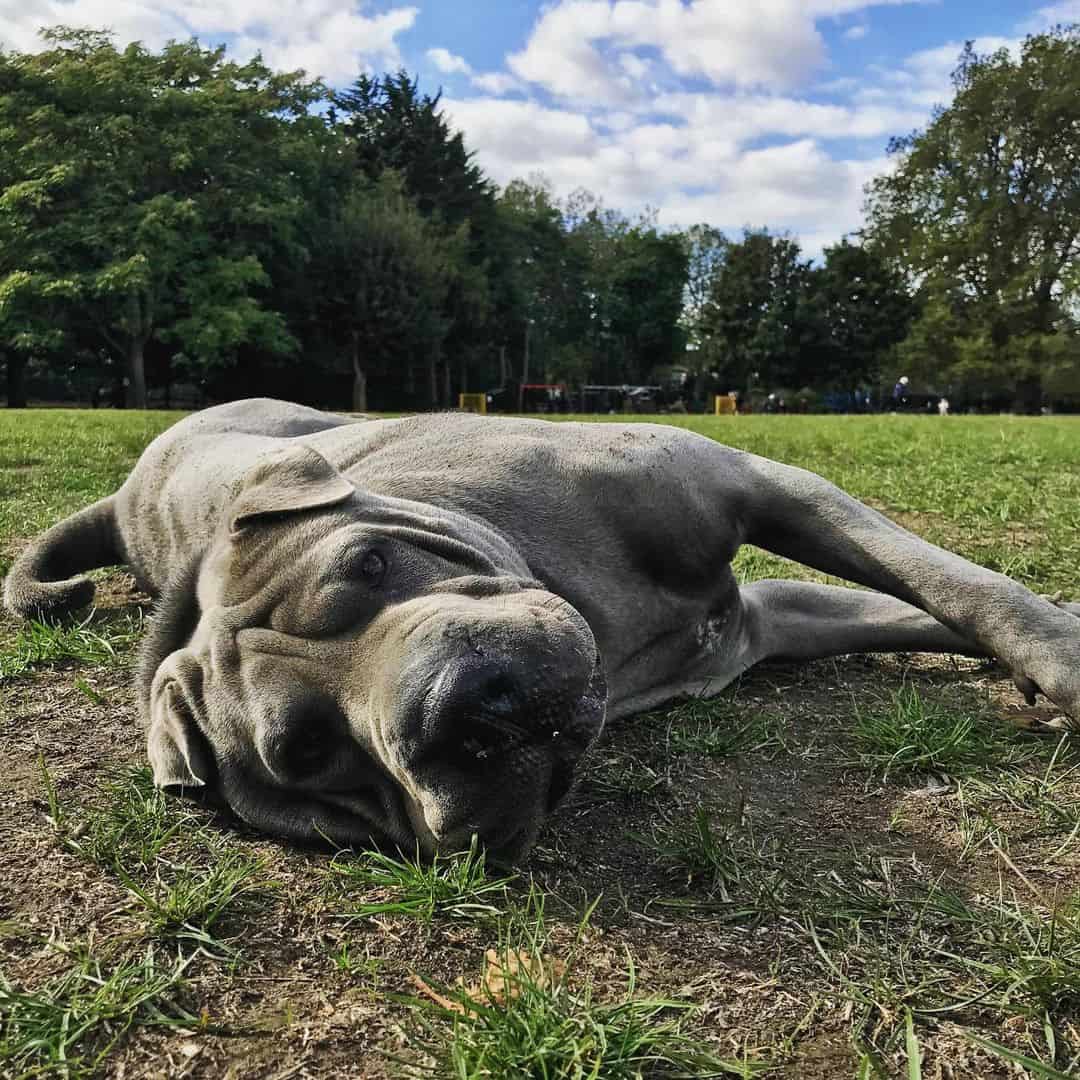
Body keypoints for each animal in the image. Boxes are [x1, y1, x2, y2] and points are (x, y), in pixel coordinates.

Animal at [2, 399, 1080, 859]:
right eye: (306, 751)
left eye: (370, 565)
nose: (457, 711)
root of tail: (128, 493)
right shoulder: (771, 618)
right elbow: (919, 601)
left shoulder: (763, 490)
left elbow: (947, 585)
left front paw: (1053, 654)